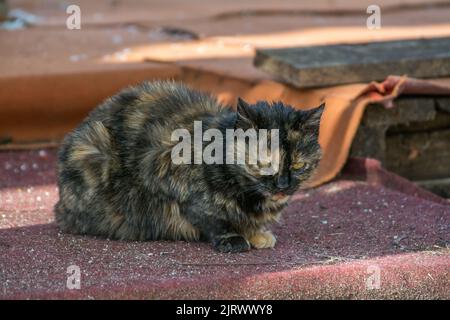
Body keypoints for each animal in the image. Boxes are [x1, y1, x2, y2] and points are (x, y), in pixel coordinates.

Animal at [55, 80, 324, 252]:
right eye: (263, 163)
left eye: (298, 164)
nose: (282, 185)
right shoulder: (167, 170)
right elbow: (210, 216)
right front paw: (233, 237)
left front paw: (256, 234)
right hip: (94, 147)